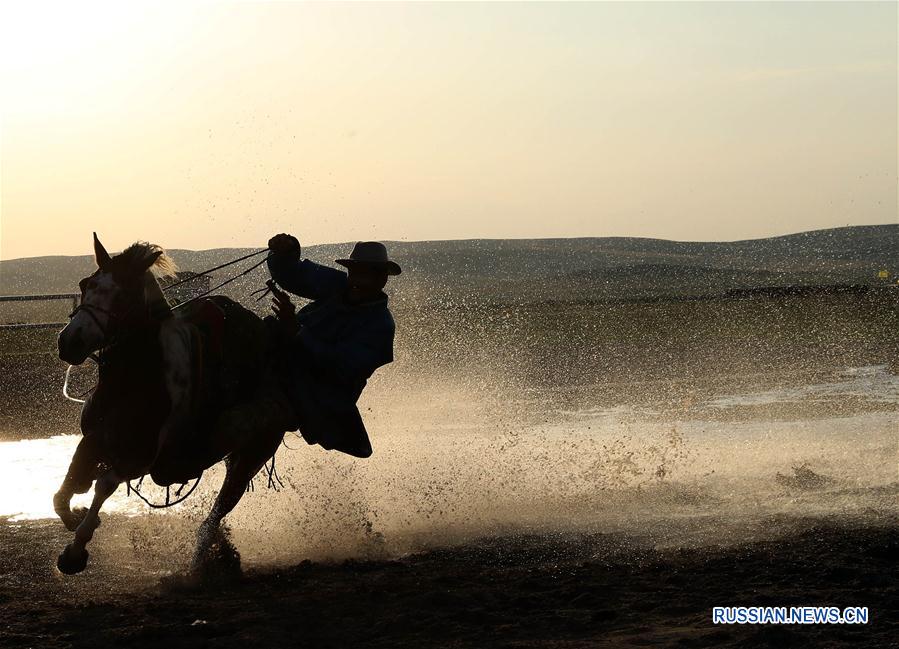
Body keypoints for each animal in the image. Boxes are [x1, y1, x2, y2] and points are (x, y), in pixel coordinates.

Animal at [52, 232, 290, 572]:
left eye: (122, 295)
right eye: (86, 284)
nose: (70, 341)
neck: (135, 377)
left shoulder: (138, 458)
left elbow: (103, 485)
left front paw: (75, 551)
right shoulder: (92, 441)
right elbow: (65, 491)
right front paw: (77, 516)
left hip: (252, 455)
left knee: (221, 507)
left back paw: (204, 558)